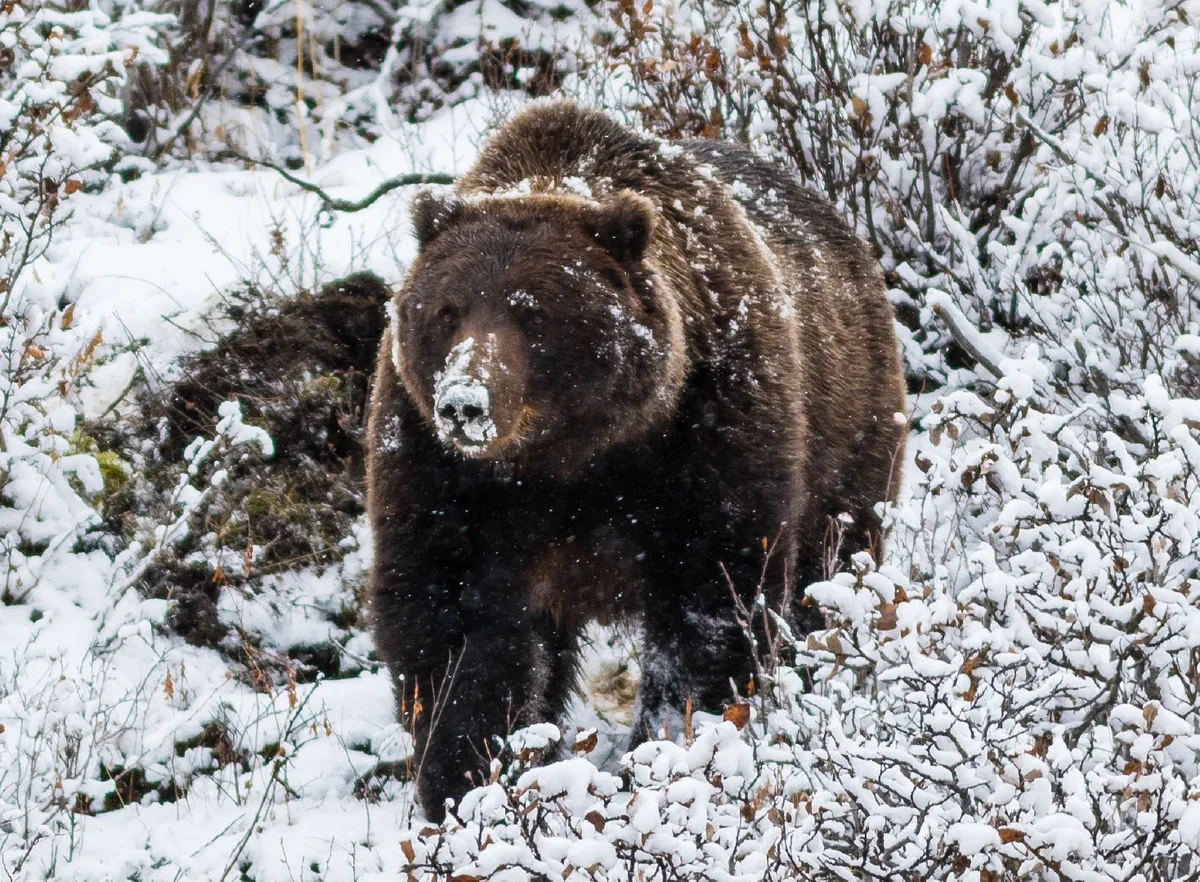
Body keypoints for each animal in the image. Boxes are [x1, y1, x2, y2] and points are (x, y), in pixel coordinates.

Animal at [369, 102, 902, 820]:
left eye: (531, 314)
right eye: (447, 311)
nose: (464, 403)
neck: (570, 458)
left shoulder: (707, 428)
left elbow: (712, 599)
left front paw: (673, 747)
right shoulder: (441, 473)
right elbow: (456, 623)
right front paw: (470, 779)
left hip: (851, 429)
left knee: (834, 566)